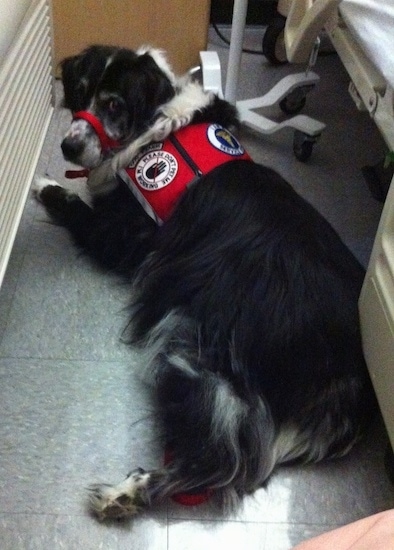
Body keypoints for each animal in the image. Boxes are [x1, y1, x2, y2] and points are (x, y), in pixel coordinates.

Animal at [34, 44, 376, 520]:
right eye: (80, 93)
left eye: (114, 104)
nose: (67, 146)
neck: (156, 122)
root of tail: (351, 379)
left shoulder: (123, 235)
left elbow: (75, 206)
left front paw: (43, 182)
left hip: (199, 355)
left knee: (223, 462)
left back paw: (127, 492)